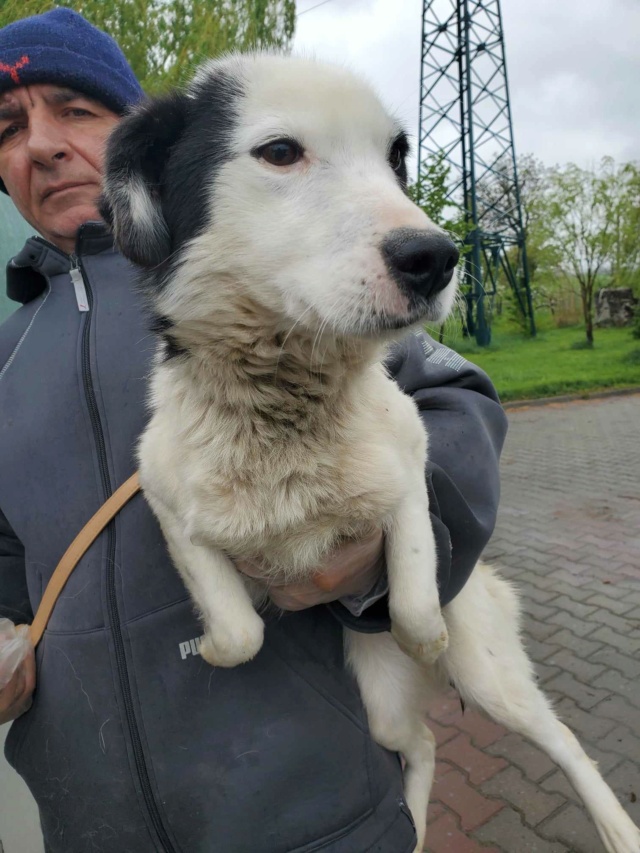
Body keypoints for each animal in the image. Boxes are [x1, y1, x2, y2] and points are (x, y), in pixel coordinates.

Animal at [100, 53, 640, 852]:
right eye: (280, 151)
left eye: (397, 158)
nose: (437, 256)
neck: (287, 408)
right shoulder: (173, 508)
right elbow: (241, 630)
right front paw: (216, 645)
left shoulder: (408, 465)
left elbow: (415, 607)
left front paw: (424, 630)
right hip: (383, 706)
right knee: (422, 741)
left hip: (491, 679)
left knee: (561, 737)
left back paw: (614, 825)